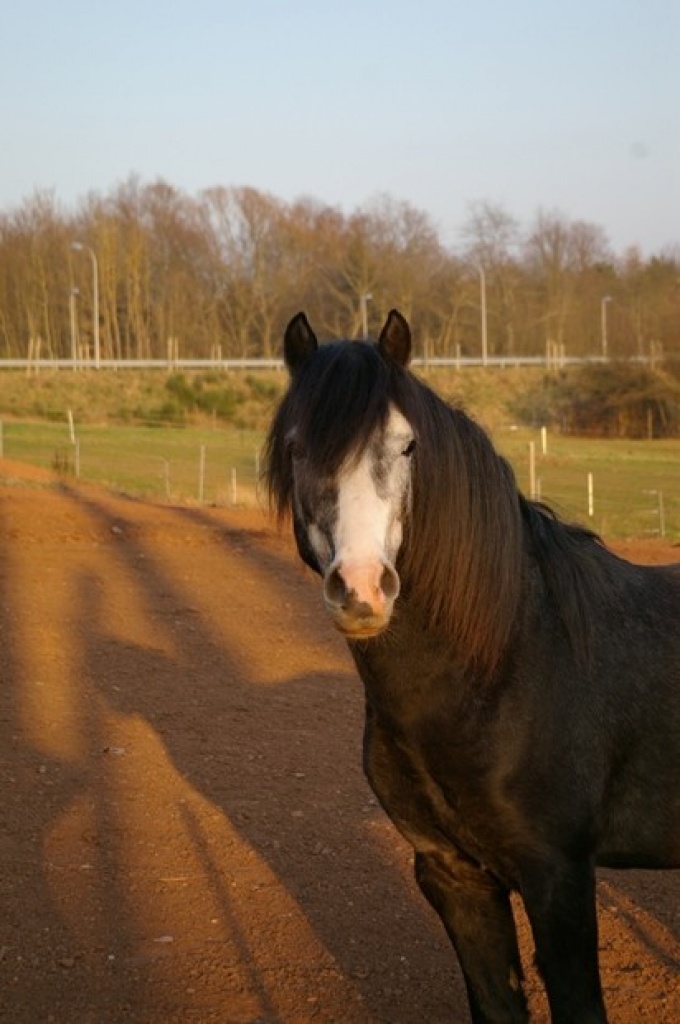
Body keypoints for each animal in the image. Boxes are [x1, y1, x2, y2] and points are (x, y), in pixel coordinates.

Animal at [264, 309, 680, 1023]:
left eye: (406, 447)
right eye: (296, 448)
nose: (363, 589)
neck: (507, 666)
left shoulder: (559, 878)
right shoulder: (453, 874)